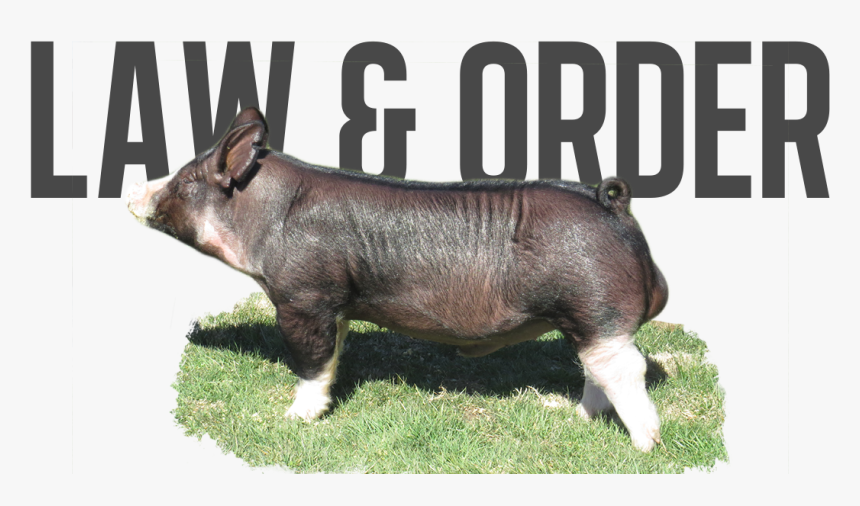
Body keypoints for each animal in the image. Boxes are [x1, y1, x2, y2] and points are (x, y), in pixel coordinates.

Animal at [126, 107, 668, 452]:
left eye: (184, 181)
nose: (131, 192)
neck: (266, 216)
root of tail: (611, 203)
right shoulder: (337, 303)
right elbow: (333, 355)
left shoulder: (303, 296)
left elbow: (309, 362)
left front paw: (293, 418)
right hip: (586, 318)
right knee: (595, 369)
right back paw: (576, 416)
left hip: (597, 305)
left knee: (625, 368)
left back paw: (645, 446)